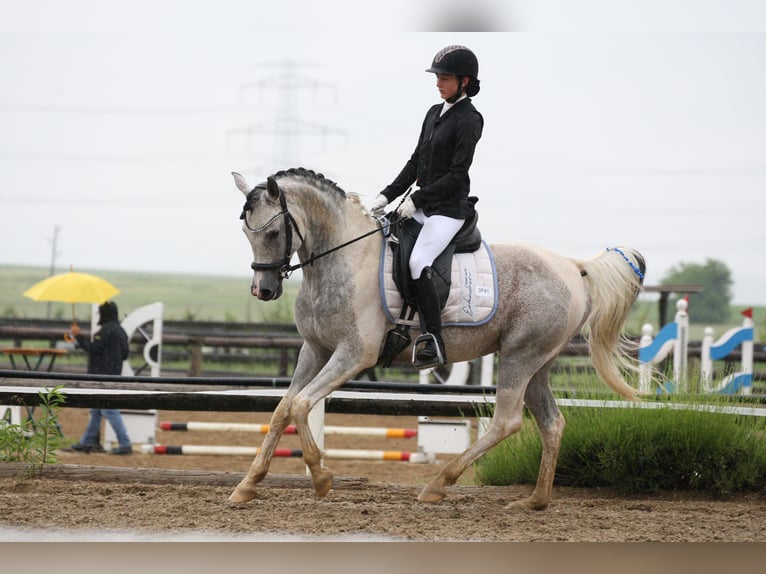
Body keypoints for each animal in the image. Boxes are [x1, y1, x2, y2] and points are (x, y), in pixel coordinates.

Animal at [230, 167, 647, 510]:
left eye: (273, 232)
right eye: (246, 233)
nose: (263, 290)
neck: (344, 259)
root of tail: (574, 267)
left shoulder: (353, 355)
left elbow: (302, 405)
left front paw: (320, 477)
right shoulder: (314, 350)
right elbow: (283, 408)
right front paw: (248, 485)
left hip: (519, 357)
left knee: (506, 421)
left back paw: (438, 485)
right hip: (538, 363)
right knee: (552, 423)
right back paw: (535, 501)